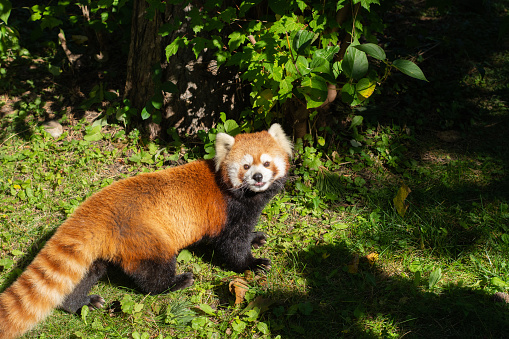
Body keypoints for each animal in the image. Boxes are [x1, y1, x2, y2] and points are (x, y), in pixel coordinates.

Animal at [0, 125, 292, 339]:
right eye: (246, 166)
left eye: (266, 163)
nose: (257, 177)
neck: (242, 194)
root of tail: (96, 208)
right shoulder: (228, 212)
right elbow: (231, 247)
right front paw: (253, 263)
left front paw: (257, 238)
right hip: (144, 235)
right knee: (152, 273)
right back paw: (177, 282)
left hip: (99, 249)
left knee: (83, 274)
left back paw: (80, 303)